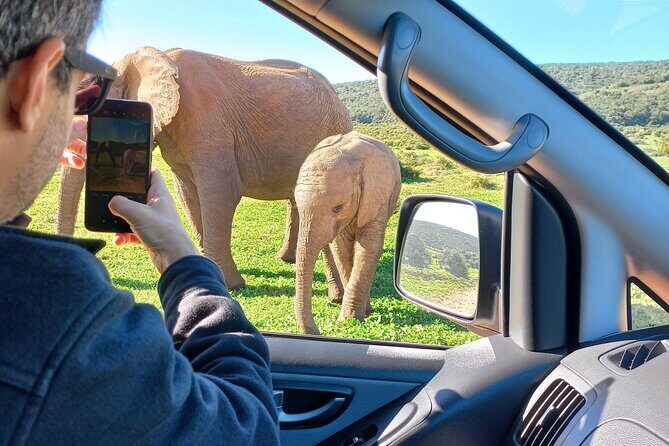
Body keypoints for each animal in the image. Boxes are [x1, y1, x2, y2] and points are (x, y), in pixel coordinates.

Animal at [56, 46, 352, 289]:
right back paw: (286, 259)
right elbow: (188, 194)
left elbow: (221, 192)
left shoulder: (207, 122)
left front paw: (231, 285)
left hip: (335, 126)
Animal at [293, 131, 402, 334]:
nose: (318, 331)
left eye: (338, 207)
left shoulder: (377, 197)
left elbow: (369, 248)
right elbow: (341, 249)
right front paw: (354, 316)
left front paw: (348, 319)